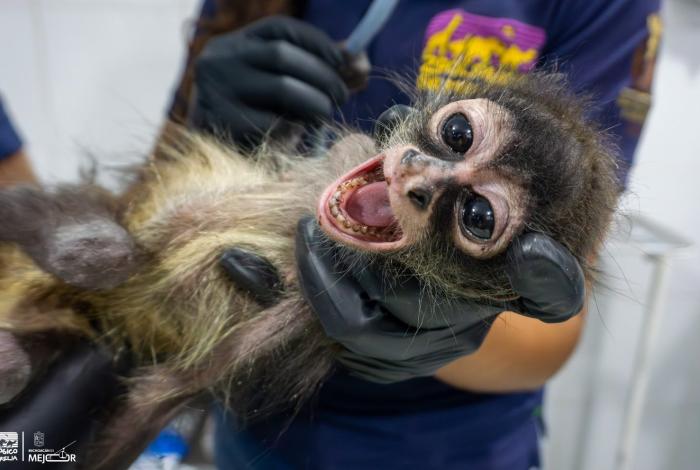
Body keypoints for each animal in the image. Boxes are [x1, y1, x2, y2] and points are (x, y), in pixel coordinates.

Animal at [0, 70, 619, 469]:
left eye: (478, 216)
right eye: (458, 133)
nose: (418, 176)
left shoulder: (300, 315)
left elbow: (157, 396)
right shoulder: (346, 153)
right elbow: (124, 238)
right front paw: (81, 243)